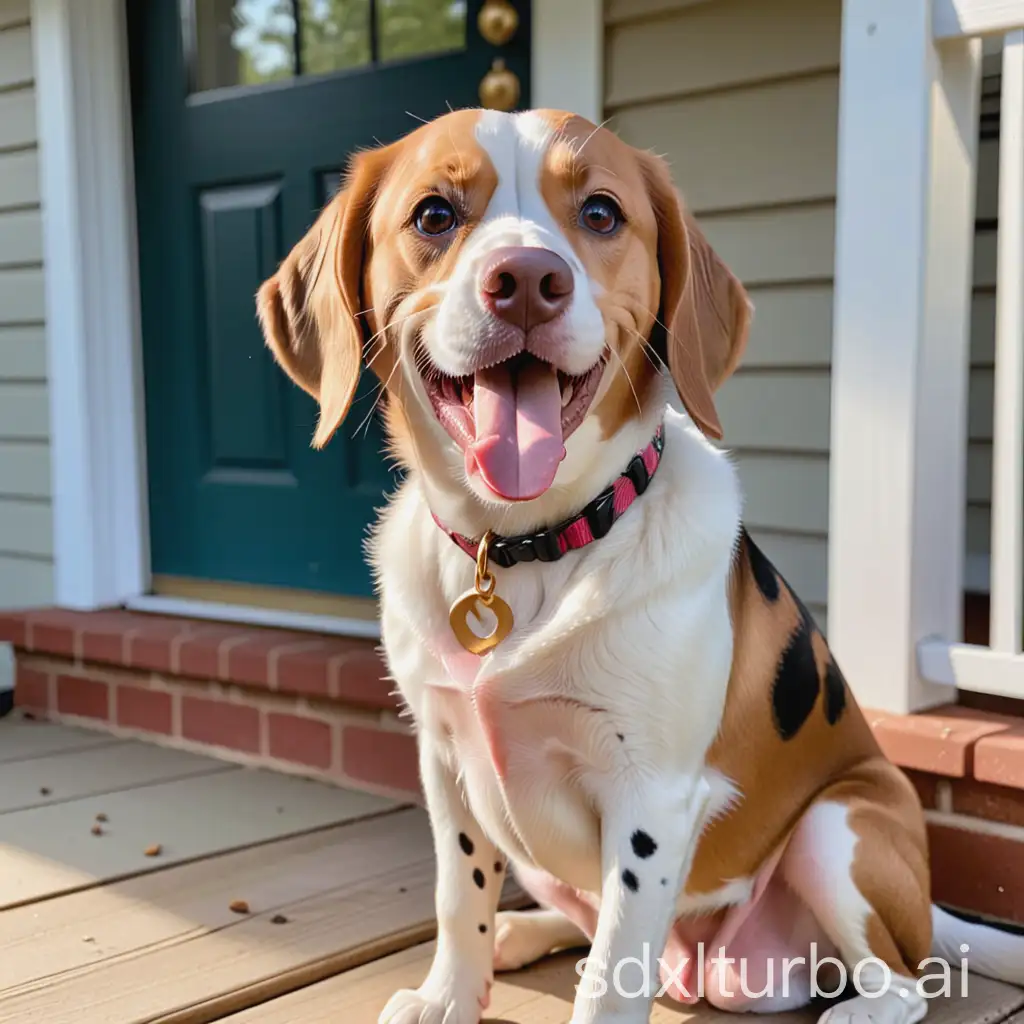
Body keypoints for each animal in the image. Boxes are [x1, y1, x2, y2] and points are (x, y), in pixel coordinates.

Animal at [256, 110, 1024, 1024]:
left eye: (601, 213)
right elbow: (458, 894)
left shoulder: (650, 797)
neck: (525, 545)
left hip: (841, 828)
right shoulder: (444, 762)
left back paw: (863, 1005)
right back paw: (523, 930)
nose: (527, 280)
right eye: (434, 215)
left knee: (901, 979)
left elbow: (614, 970)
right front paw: (450, 993)